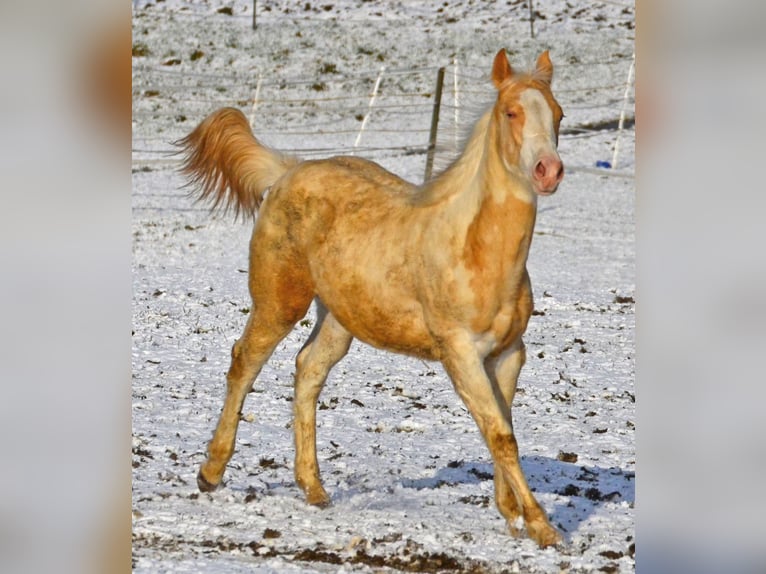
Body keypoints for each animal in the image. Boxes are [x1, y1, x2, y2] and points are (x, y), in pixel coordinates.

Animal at [178, 49, 565, 548]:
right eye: (511, 112)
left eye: (558, 114)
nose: (548, 170)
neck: (475, 248)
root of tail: (288, 171)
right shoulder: (460, 354)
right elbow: (499, 433)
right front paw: (541, 525)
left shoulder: (508, 353)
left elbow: (504, 426)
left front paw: (511, 513)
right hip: (281, 301)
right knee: (244, 362)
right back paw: (210, 472)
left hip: (339, 319)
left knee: (308, 370)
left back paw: (314, 488)